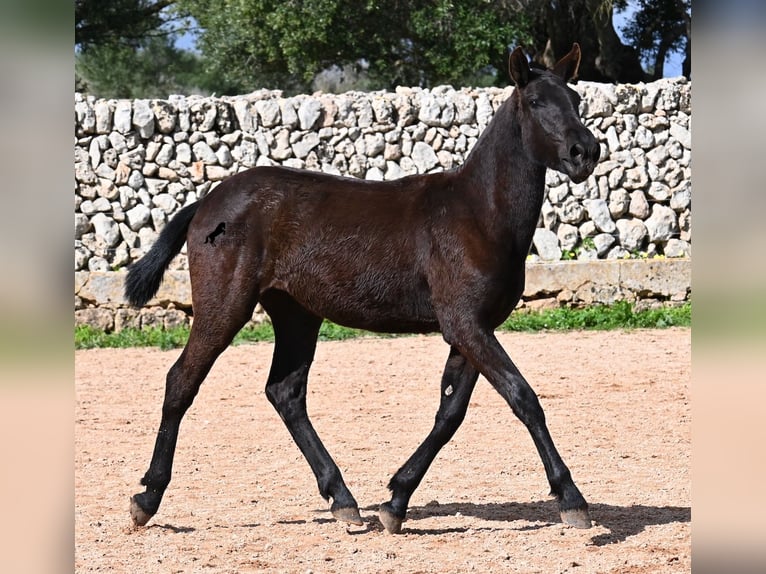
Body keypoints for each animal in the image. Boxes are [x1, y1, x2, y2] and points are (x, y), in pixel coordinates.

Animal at [124, 44, 600, 536]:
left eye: (576, 99)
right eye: (536, 102)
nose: (585, 152)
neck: (476, 213)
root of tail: (207, 202)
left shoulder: (473, 329)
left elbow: (450, 413)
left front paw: (396, 500)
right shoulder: (466, 325)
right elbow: (523, 398)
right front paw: (571, 498)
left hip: (297, 314)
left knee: (285, 393)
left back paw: (342, 499)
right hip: (225, 306)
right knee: (182, 381)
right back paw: (147, 497)